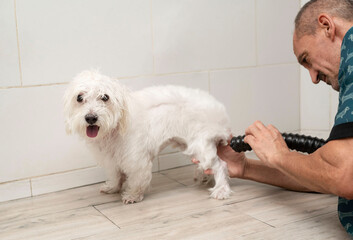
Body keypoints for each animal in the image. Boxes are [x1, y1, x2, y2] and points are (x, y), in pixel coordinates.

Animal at [64, 70, 231, 203]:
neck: (116, 127)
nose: (91, 118)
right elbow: (116, 174)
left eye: (105, 97)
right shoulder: (112, 158)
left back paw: (221, 189)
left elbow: (137, 180)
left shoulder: (136, 159)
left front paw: (133, 195)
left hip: (201, 146)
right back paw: (203, 176)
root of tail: (219, 110)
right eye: (79, 98)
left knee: (220, 165)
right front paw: (113, 187)